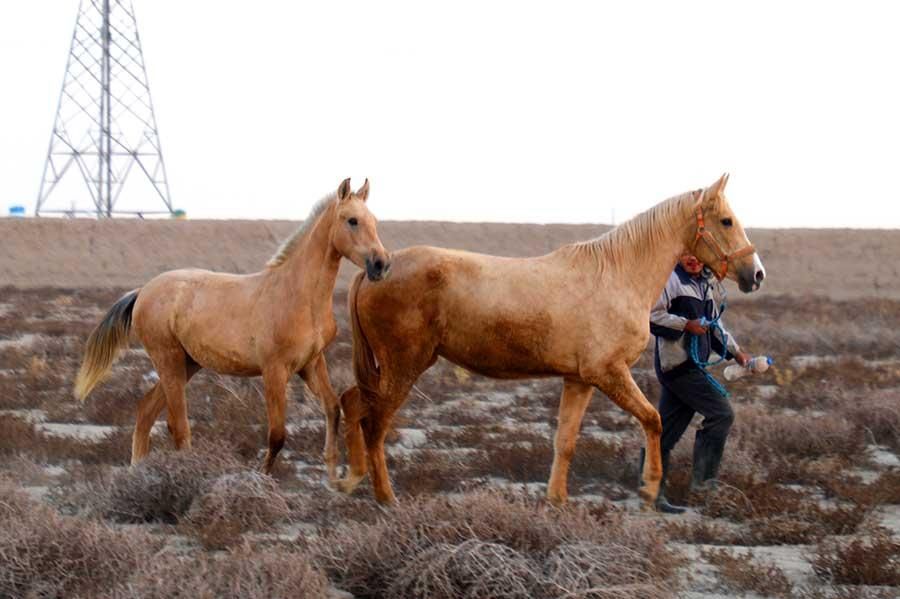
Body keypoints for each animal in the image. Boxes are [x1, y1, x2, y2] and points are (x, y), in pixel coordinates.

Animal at [74, 178, 390, 482]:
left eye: (374, 220)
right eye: (352, 220)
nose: (381, 264)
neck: (297, 294)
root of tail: (143, 291)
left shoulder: (311, 364)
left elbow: (332, 409)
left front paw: (338, 480)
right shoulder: (274, 371)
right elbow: (277, 435)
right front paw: (260, 479)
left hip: (187, 364)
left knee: (146, 411)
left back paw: (138, 472)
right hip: (168, 360)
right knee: (178, 425)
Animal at [334, 173, 764, 510]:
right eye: (726, 220)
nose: (756, 274)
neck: (618, 274)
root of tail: (377, 268)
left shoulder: (579, 380)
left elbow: (566, 441)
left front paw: (556, 500)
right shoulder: (608, 373)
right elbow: (653, 421)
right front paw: (648, 489)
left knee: (353, 404)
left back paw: (348, 479)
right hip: (403, 367)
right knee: (375, 424)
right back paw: (384, 497)